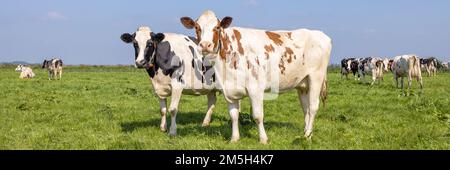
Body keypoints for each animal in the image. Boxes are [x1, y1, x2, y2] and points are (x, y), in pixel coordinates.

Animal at [179, 9, 330, 143]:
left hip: (316, 77)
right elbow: (234, 115)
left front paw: (263, 139)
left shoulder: (255, 88)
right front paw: (234, 139)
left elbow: (258, 116)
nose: (205, 45)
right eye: (197, 27)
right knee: (306, 108)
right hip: (302, 83)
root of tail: (320, 34)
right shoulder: (229, 89)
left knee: (313, 107)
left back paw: (308, 136)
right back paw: (306, 132)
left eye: (217, 27)